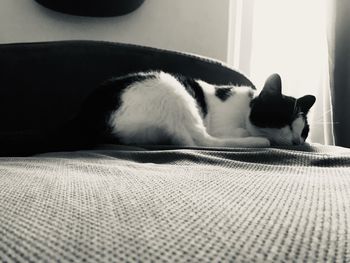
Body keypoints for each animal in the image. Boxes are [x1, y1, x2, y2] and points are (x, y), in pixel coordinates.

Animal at [65, 71, 314, 150]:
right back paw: (258, 143)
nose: (297, 142)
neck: (245, 109)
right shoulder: (225, 129)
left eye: (304, 131)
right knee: (199, 141)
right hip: (170, 87)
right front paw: (258, 137)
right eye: (285, 121)